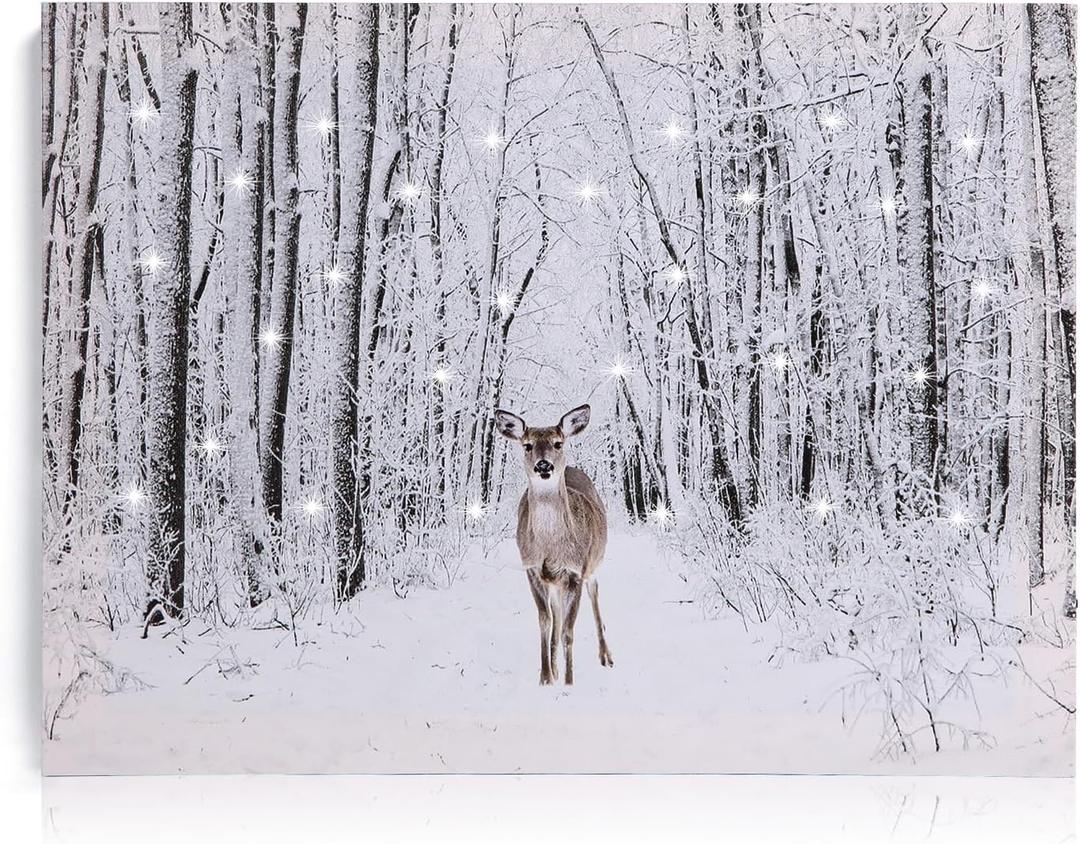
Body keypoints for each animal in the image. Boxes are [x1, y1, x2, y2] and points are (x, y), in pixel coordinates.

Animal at [495, 403, 614, 686]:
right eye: (527, 445)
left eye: (558, 443)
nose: (543, 465)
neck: (551, 549)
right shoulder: (531, 568)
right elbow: (546, 621)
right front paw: (546, 677)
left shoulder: (575, 571)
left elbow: (568, 630)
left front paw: (569, 682)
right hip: (555, 583)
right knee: (557, 615)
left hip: (593, 563)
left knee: (595, 595)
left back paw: (606, 656)